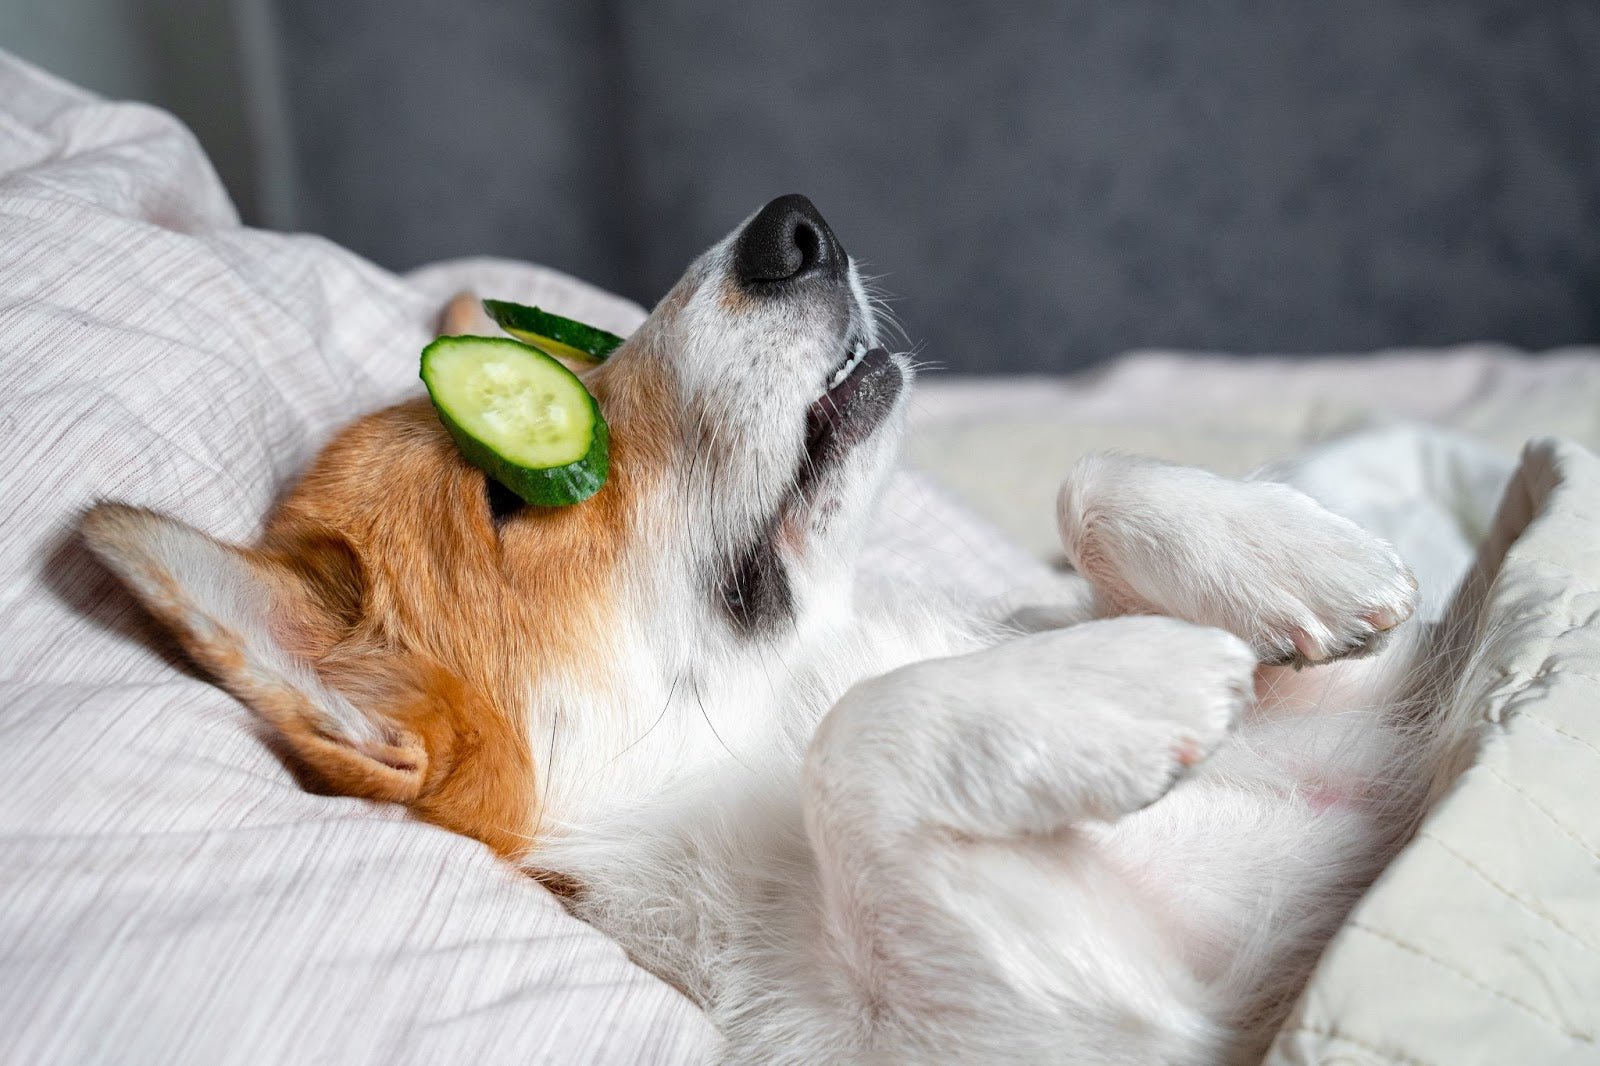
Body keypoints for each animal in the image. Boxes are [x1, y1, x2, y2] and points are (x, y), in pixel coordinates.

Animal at [84, 195, 1472, 1056]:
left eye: (582, 353)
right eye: (511, 487)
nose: (793, 226)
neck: (777, 698)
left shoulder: (1376, 738)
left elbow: (1085, 490)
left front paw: (1297, 558)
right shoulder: (1082, 1027)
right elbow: (855, 745)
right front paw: (1130, 679)